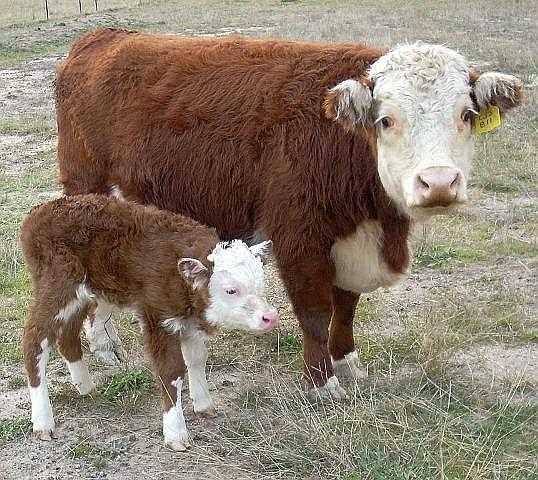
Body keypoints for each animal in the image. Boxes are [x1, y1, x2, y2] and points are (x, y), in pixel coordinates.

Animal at [20, 194, 276, 450]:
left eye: (260, 285)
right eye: (231, 290)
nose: (270, 317)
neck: (180, 277)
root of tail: (39, 212)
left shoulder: (189, 321)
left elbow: (197, 359)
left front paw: (204, 404)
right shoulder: (159, 318)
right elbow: (171, 370)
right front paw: (176, 433)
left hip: (83, 295)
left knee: (67, 336)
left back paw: (85, 387)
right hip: (57, 285)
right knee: (35, 340)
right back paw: (43, 421)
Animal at [54, 29, 520, 398]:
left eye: (466, 115)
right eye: (386, 120)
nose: (438, 182)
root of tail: (106, 36)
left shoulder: (349, 241)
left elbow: (346, 305)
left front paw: (347, 363)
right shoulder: (298, 235)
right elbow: (315, 311)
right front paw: (322, 383)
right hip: (89, 194)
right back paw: (103, 344)